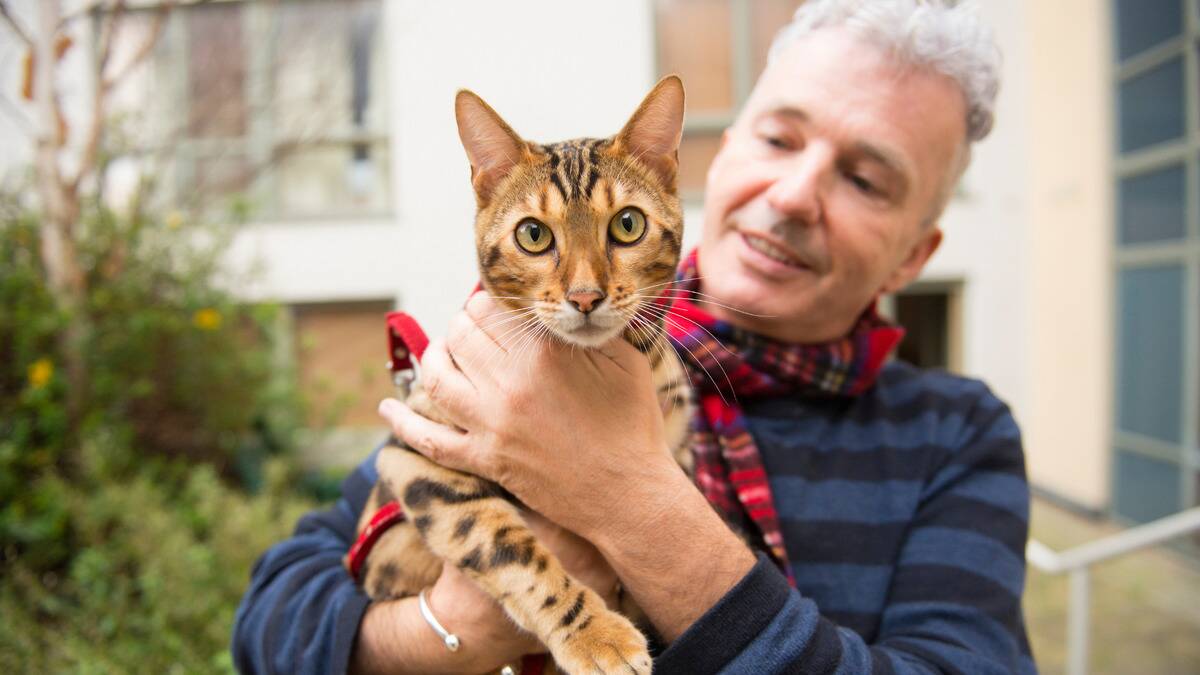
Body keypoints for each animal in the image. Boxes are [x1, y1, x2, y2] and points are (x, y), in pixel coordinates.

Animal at [355, 76, 691, 667]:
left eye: (628, 225)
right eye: (533, 234)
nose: (586, 297)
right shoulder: (412, 461)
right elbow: (510, 552)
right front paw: (595, 636)